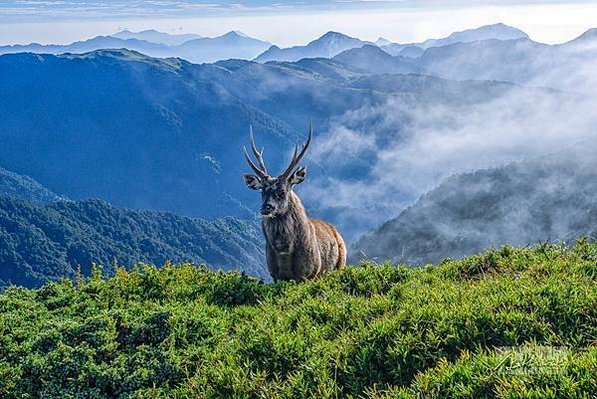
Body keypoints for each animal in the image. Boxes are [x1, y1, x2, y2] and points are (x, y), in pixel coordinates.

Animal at [241, 125, 344, 282]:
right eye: (262, 191)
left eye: (282, 191)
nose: (266, 207)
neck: (284, 254)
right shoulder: (275, 274)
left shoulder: (310, 273)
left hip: (339, 265)